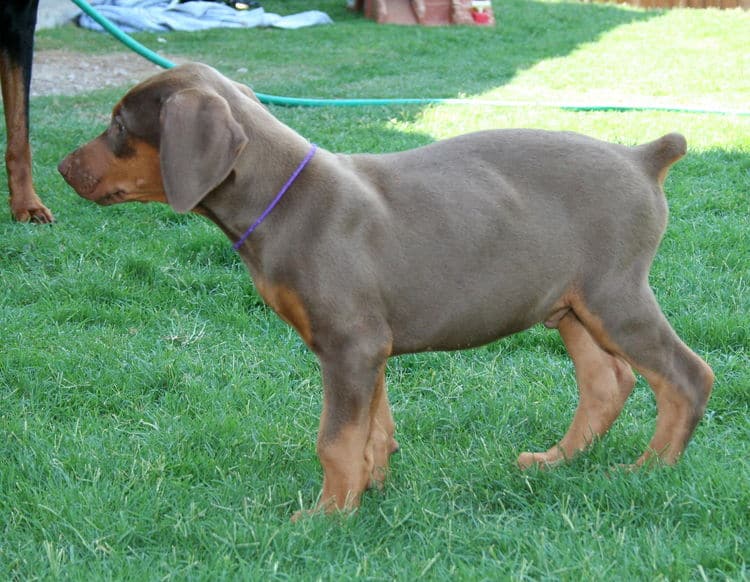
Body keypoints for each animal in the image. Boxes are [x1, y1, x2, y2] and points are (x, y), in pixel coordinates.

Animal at [58, 64, 716, 516]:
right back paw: (556, 460)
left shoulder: (349, 344)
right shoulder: (367, 347)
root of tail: (642, 158)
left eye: (119, 124)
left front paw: (326, 516)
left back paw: (649, 470)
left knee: (687, 376)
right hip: (569, 304)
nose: (63, 169)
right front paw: (368, 488)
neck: (285, 199)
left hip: (614, 295)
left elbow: (335, 438)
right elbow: (372, 425)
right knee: (608, 381)